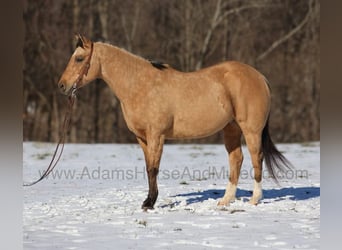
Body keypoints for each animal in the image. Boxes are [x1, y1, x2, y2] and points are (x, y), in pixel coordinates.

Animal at [56, 34, 292, 210]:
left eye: (79, 59)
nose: (62, 86)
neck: (140, 85)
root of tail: (259, 76)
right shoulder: (142, 138)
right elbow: (148, 168)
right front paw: (148, 201)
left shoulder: (156, 136)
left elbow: (154, 169)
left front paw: (150, 203)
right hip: (231, 129)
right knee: (237, 159)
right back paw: (225, 200)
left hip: (251, 130)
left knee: (256, 158)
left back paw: (254, 199)